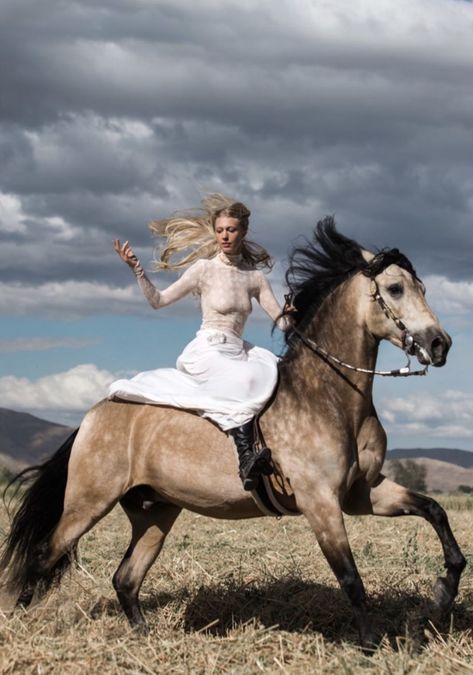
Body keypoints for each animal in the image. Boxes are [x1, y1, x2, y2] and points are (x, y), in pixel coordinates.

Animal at [0, 222, 464, 648]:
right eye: (395, 288)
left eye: (422, 286)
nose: (440, 345)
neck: (330, 397)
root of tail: (94, 414)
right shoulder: (320, 503)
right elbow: (350, 577)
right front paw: (369, 644)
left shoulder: (361, 493)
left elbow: (435, 511)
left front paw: (441, 598)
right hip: (89, 503)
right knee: (43, 556)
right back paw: (22, 627)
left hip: (155, 512)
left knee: (125, 578)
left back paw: (147, 639)